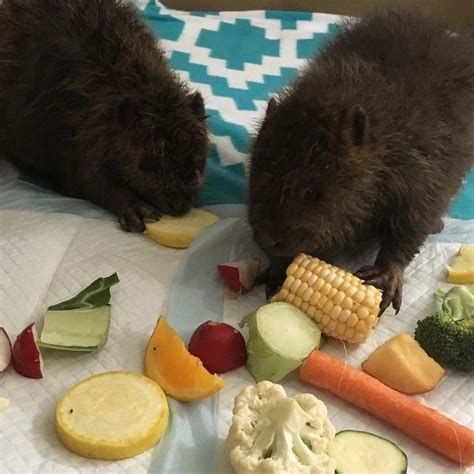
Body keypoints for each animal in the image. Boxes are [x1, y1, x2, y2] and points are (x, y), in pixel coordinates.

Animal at [0, 0, 207, 231]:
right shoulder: (77, 127)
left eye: (199, 160)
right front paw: (136, 209)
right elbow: (88, 179)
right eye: (147, 163)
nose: (179, 205)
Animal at [248, 10, 474, 314]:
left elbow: (413, 223)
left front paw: (387, 274)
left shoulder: (423, 170)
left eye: (311, 193)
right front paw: (278, 268)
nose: (268, 241)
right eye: (257, 177)